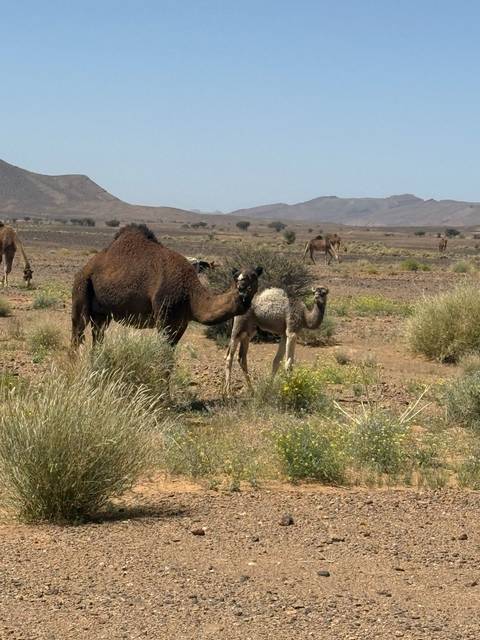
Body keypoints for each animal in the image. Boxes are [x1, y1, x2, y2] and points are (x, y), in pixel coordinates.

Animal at [71, 223, 262, 347]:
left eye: (253, 276)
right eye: (236, 277)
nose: (242, 287)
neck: (191, 294)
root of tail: (86, 268)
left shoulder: (182, 323)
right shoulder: (165, 318)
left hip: (101, 313)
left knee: (97, 337)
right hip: (81, 289)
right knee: (77, 333)